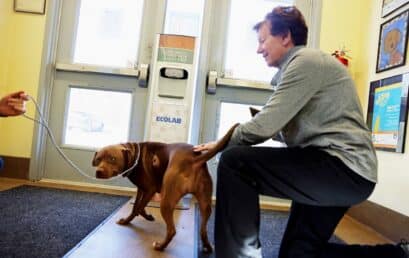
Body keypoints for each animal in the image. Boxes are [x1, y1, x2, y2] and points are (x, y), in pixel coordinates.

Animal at [91, 123, 239, 252]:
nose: (98, 172)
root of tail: (194, 160)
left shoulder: (149, 189)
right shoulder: (142, 189)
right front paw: (140, 217)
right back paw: (208, 247)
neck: (134, 154)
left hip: (166, 201)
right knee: (203, 230)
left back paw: (160, 246)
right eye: (98, 159)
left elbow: (138, 208)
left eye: (112, 159)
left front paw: (138, 219)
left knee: (172, 230)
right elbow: (137, 206)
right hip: (205, 204)